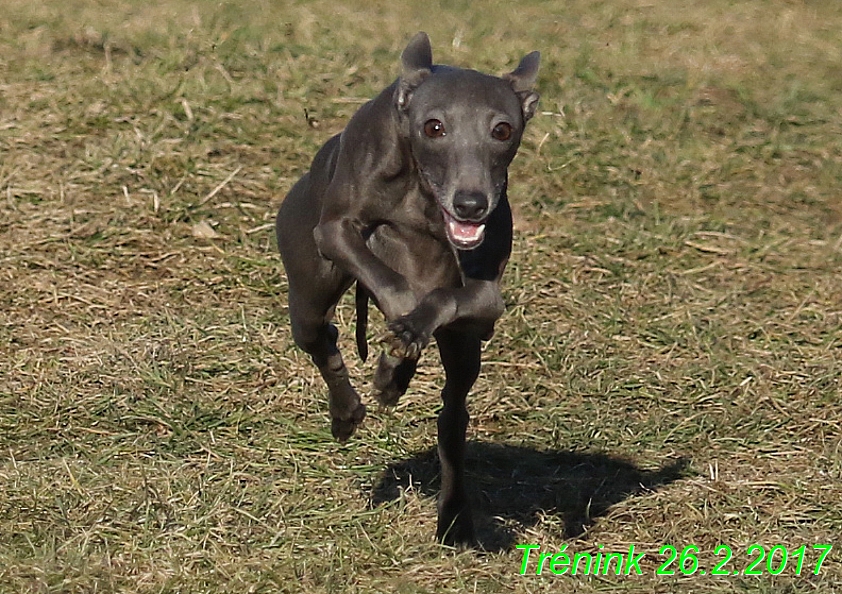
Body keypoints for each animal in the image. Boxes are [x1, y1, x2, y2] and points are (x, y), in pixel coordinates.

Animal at [276, 31, 540, 540]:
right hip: (308, 297)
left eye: (502, 130)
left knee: (452, 416)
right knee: (324, 338)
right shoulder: (336, 231)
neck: (423, 202)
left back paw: (454, 514)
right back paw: (349, 409)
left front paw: (399, 353)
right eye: (433, 127)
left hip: (463, 355)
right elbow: (392, 284)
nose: (471, 204)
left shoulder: (486, 299)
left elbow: (443, 297)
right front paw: (396, 345)